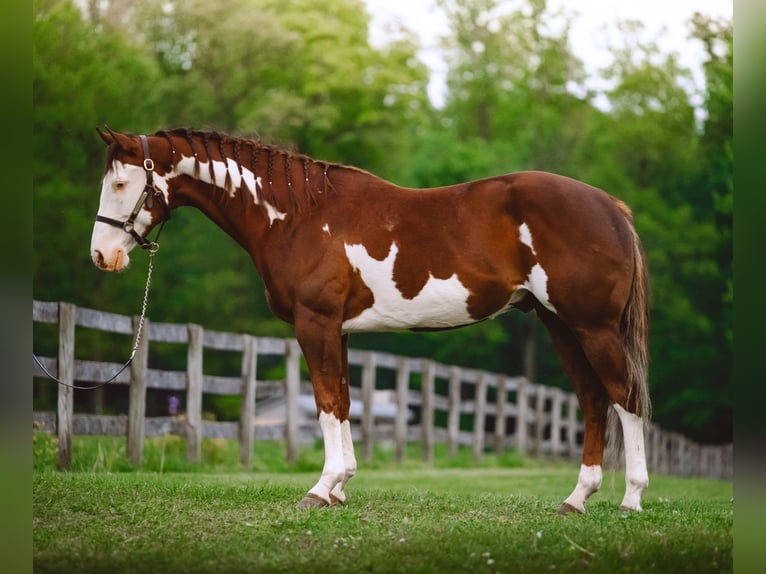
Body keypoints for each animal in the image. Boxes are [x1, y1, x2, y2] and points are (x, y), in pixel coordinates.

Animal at [90, 127, 650, 513]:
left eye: (120, 182)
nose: (101, 255)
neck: (296, 215)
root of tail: (612, 206)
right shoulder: (337, 330)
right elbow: (341, 403)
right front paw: (340, 488)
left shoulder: (314, 324)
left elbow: (324, 405)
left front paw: (320, 490)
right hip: (560, 325)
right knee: (594, 400)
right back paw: (576, 499)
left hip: (591, 327)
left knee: (624, 397)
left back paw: (630, 499)